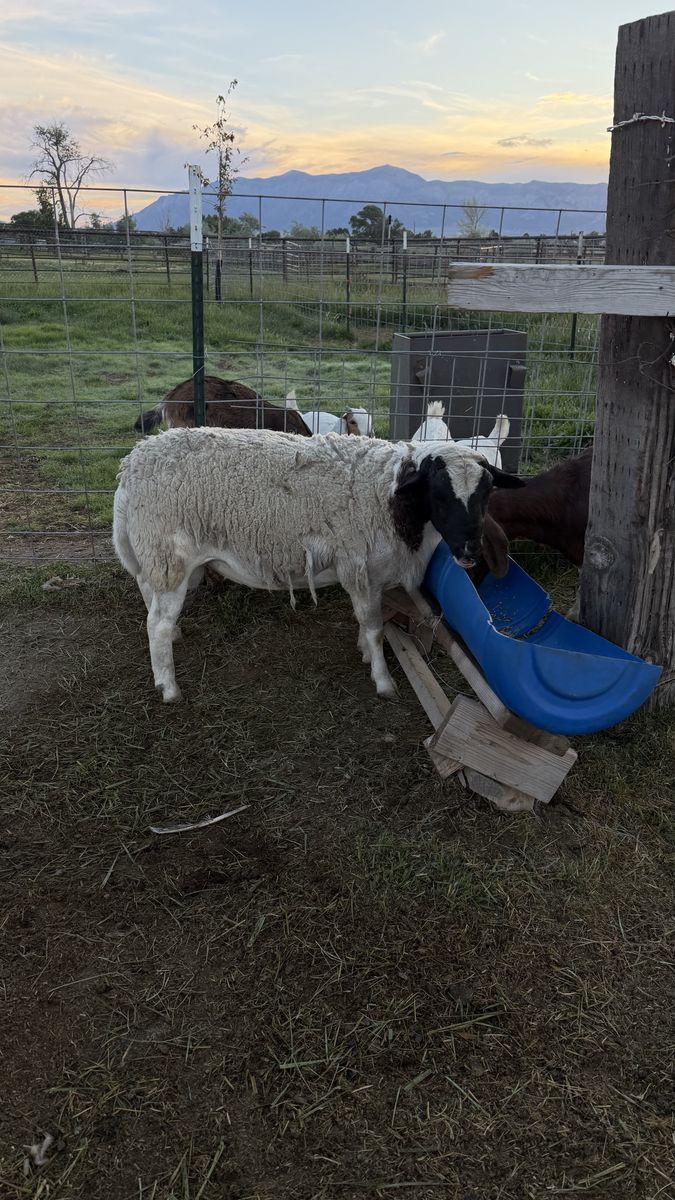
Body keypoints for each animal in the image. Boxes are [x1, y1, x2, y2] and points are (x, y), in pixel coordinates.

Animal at [113, 428, 524, 703]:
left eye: (487, 493)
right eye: (439, 493)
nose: (469, 550)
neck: (394, 500)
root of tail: (131, 465)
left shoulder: (370, 574)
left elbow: (368, 623)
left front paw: (364, 652)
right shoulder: (358, 565)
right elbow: (374, 627)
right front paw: (383, 680)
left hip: (155, 556)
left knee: (151, 604)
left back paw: (172, 644)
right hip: (170, 556)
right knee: (156, 624)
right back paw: (169, 687)